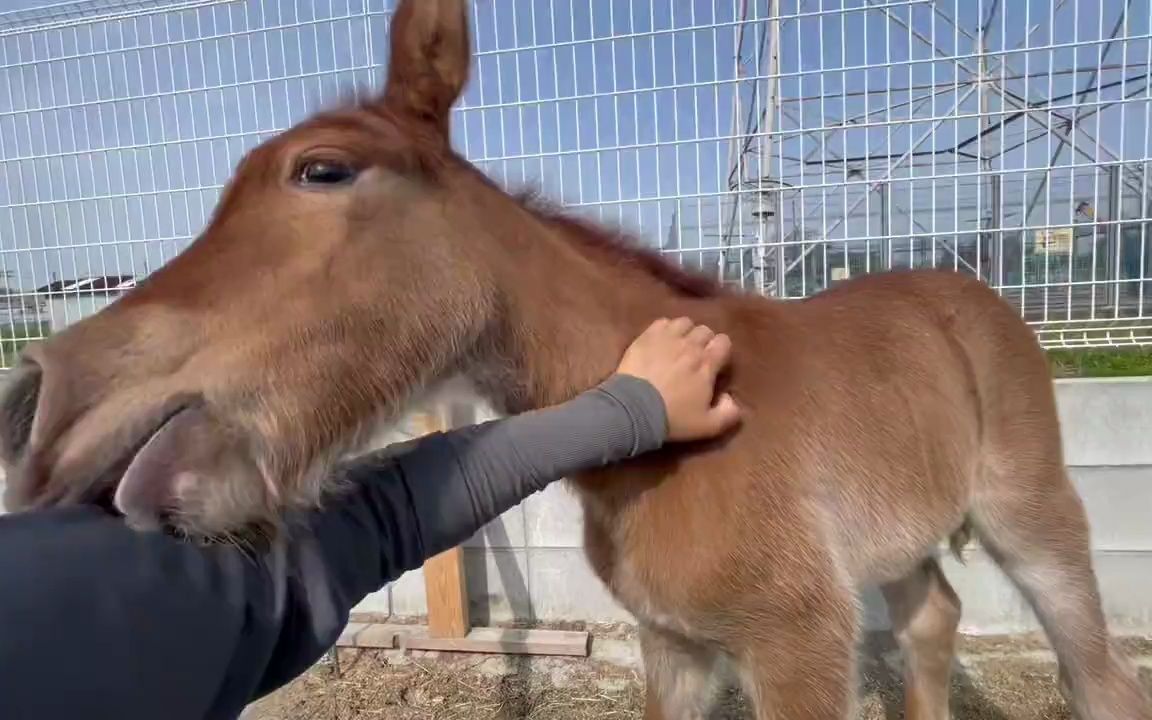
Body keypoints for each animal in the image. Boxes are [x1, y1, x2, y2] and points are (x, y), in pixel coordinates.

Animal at [1, 1, 1147, 718]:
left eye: (322, 170)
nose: (48, 410)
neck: (683, 440)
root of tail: (969, 290)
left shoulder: (796, 644)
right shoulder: (675, 646)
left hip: (1032, 516)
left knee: (1098, 675)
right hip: (900, 538)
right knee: (933, 621)